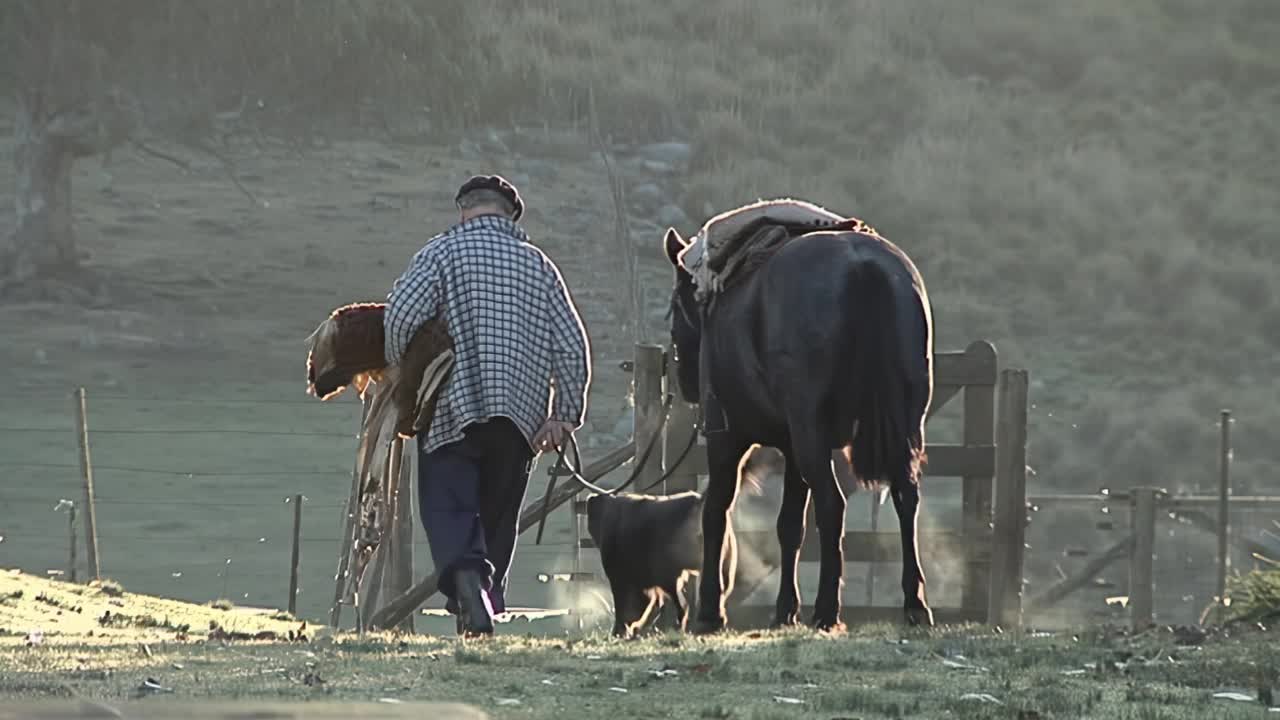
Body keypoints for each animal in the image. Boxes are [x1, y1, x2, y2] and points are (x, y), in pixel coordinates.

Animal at [583, 486, 742, 632]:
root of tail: (698, 502)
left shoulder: (621, 577)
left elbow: (624, 605)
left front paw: (621, 629)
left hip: (667, 574)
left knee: (681, 605)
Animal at [665, 198, 936, 630]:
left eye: (675, 304)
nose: (687, 382)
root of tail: (864, 267)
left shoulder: (728, 439)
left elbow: (715, 512)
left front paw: (711, 610)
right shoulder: (792, 450)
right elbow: (789, 525)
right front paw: (785, 609)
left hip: (810, 435)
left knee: (833, 505)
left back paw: (827, 609)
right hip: (903, 425)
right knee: (905, 496)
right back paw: (914, 603)